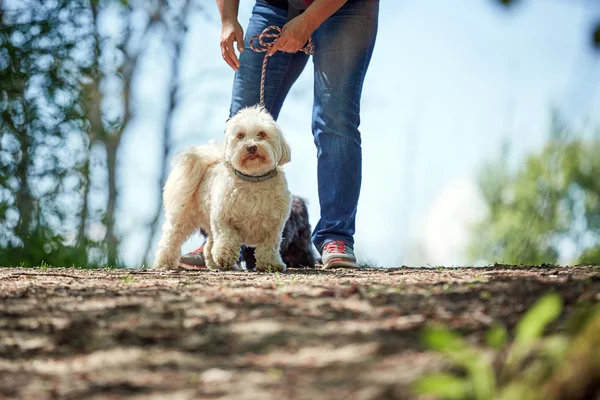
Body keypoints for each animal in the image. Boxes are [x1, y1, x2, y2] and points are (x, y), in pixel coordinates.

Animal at [154, 105, 292, 272]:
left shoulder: (273, 225)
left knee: (209, 245)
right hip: (183, 217)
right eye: (240, 135)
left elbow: (269, 246)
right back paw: (164, 263)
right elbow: (227, 237)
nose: (251, 147)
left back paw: (212, 263)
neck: (253, 179)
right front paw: (225, 256)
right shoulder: (224, 218)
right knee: (170, 240)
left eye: (262, 133)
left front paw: (270, 264)